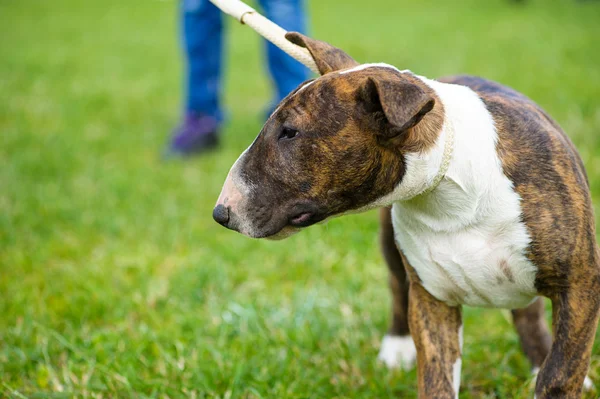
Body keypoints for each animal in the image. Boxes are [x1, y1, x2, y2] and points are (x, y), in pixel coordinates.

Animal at [212, 32, 600, 398]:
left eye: (290, 132)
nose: (220, 213)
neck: (450, 187)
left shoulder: (580, 285)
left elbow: (560, 373)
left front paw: (556, 376)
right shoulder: (432, 300)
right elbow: (436, 377)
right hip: (391, 245)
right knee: (399, 288)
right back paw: (396, 349)